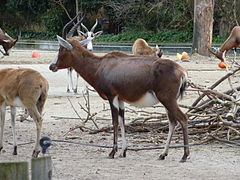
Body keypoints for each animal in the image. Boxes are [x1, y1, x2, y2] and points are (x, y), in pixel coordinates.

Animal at [49, 35, 190, 162]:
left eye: (61, 49)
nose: (51, 66)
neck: (101, 65)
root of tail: (181, 72)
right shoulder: (121, 100)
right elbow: (122, 122)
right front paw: (123, 151)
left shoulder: (112, 97)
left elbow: (115, 122)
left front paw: (112, 152)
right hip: (167, 102)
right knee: (172, 122)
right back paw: (162, 154)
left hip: (167, 100)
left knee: (182, 119)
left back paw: (184, 155)